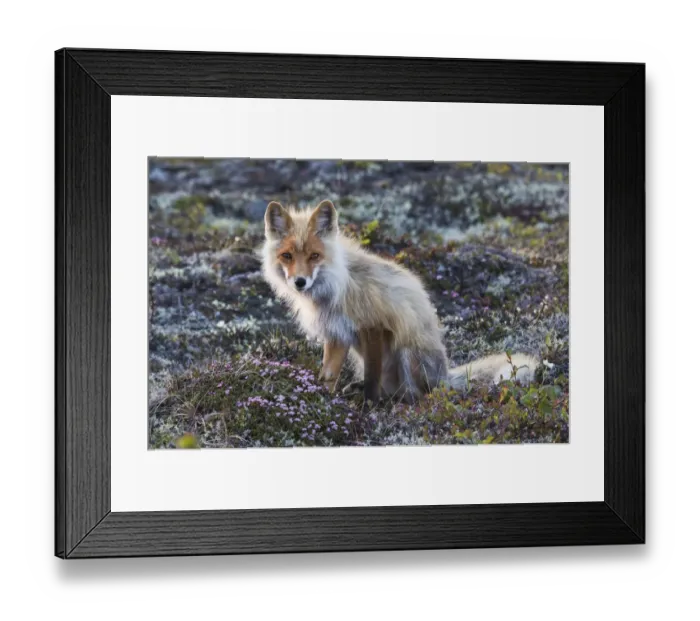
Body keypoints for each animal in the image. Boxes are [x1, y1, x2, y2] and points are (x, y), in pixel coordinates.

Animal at [261, 199, 539, 404]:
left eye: (314, 256)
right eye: (287, 256)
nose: (299, 282)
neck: (337, 285)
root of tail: (444, 376)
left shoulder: (375, 327)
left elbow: (372, 379)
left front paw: (368, 406)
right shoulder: (337, 333)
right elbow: (328, 376)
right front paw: (323, 401)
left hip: (406, 350)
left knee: (418, 394)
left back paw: (399, 402)